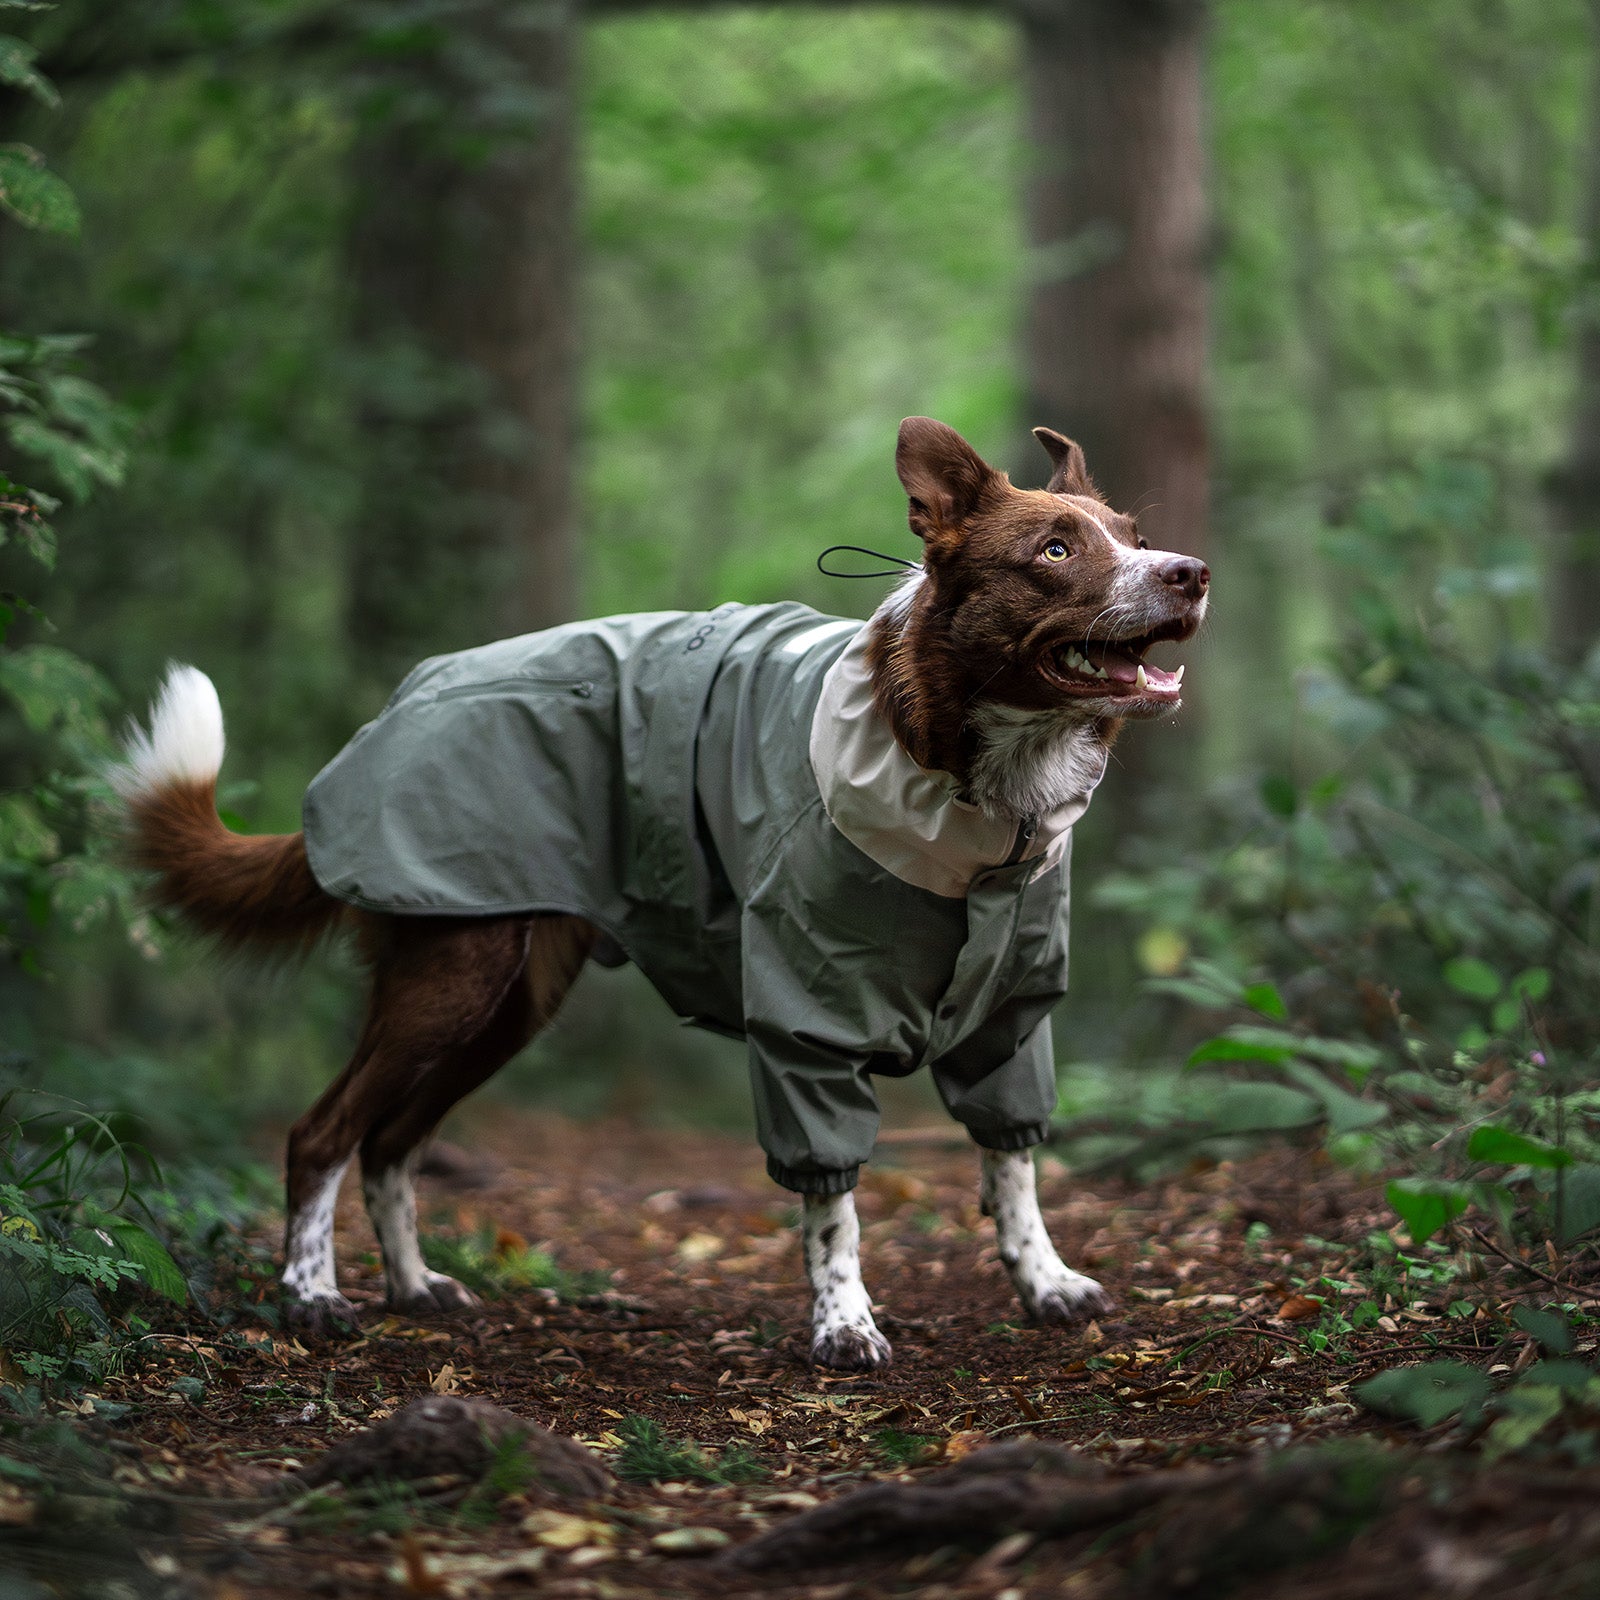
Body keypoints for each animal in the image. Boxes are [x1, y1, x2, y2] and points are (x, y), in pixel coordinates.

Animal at [116, 419, 1209, 1369]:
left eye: (1135, 538)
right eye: (1056, 549)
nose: (1191, 573)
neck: (978, 784)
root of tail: (397, 707)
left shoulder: (1012, 1016)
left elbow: (1012, 1160)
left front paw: (1045, 1282)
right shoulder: (806, 1024)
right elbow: (834, 1205)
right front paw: (843, 1324)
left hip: (508, 999)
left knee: (390, 1141)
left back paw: (415, 1286)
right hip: (453, 972)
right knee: (327, 1132)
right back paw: (311, 1296)